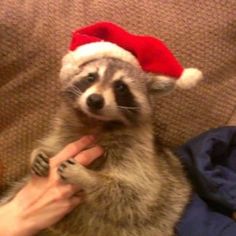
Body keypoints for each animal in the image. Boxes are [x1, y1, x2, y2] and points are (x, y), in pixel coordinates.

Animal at [27, 57, 192, 236]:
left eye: (120, 87)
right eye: (91, 77)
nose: (94, 100)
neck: (96, 122)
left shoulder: (136, 152)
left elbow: (133, 194)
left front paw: (86, 177)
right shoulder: (65, 133)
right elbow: (53, 145)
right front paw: (37, 153)